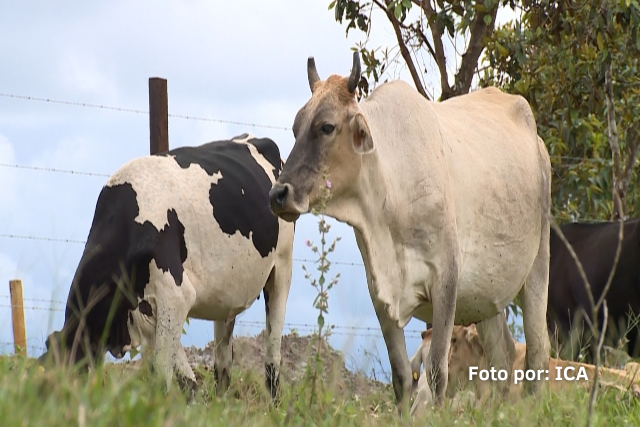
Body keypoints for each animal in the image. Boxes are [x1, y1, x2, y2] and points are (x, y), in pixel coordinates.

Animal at [41, 134, 296, 402]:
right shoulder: (146, 312)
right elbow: (185, 380)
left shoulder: (175, 295)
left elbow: (161, 375)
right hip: (227, 293)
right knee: (223, 359)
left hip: (282, 268)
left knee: (273, 352)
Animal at [268, 51, 552, 412]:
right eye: (295, 127)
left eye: (326, 127)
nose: (278, 194)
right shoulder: (380, 292)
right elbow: (402, 378)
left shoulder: (446, 281)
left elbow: (437, 374)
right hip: (487, 295)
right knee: (501, 358)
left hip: (537, 268)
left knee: (538, 353)